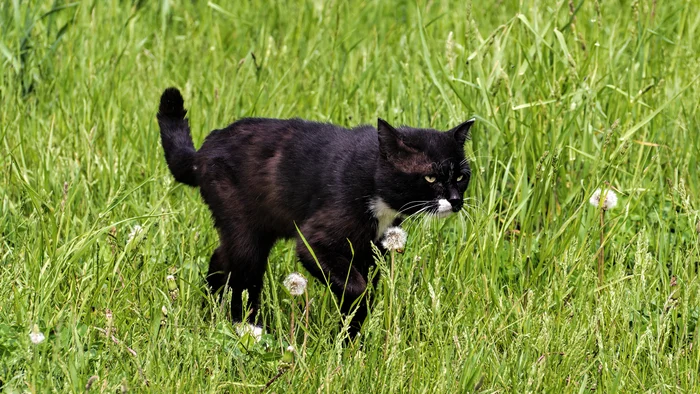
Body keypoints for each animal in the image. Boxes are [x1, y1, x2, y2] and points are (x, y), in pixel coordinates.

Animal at [157, 87, 476, 334]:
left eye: (462, 176)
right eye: (431, 178)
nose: (455, 200)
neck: (373, 182)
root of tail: (202, 152)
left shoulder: (371, 250)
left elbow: (365, 295)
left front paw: (351, 344)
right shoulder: (315, 241)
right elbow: (357, 288)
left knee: (221, 260)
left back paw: (211, 310)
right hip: (245, 230)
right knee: (245, 279)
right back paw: (250, 329)